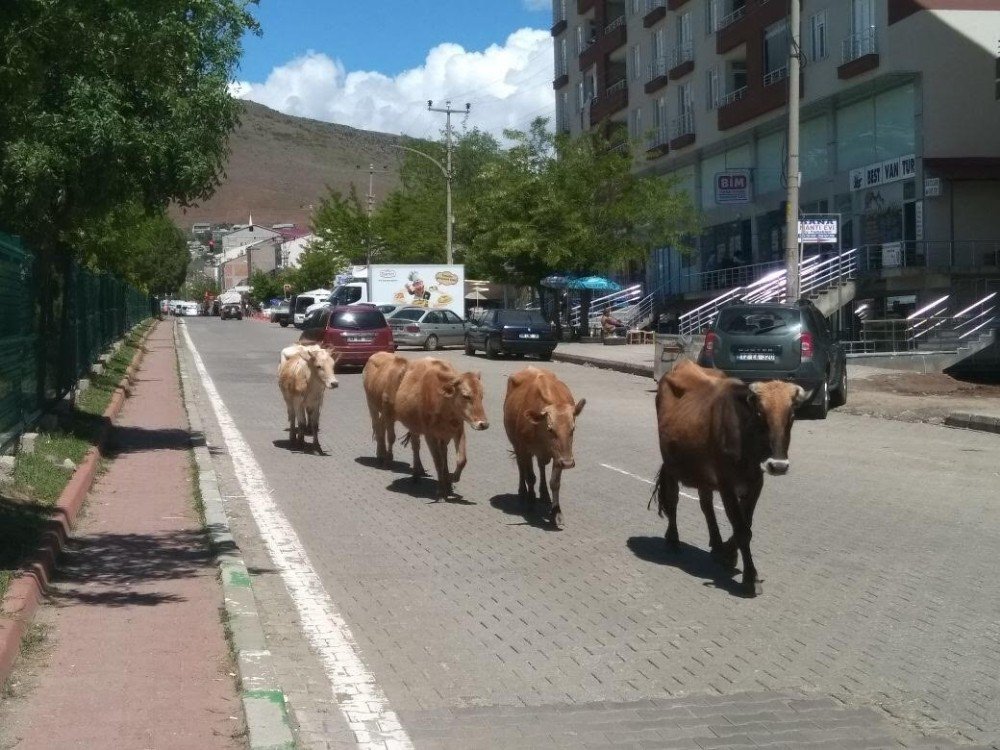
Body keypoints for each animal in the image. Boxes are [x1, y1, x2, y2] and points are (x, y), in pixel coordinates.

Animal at [398, 356, 492, 500]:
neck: (445, 407)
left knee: (444, 452)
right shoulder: (430, 435)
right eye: (466, 396)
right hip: (415, 429)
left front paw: (454, 478)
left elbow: (462, 459)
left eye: (481, 396)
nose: (483, 424)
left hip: (444, 436)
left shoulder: (459, 431)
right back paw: (416, 474)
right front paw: (440, 490)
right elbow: (437, 461)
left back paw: (447, 481)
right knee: (416, 447)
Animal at [504, 366, 584, 528]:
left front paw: (556, 512)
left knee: (541, 467)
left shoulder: (559, 455)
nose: (568, 463)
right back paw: (523, 493)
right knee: (521, 467)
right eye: (550, 429)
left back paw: (545, 494)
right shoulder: (525, 449)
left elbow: (555, 483)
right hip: (516, 445)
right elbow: (530, 477)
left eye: (573, 428)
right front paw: (530, 502)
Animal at [652, 360, 808, 600]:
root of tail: (683, 364)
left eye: (791, 416)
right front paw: (750, 578)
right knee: (673, 499)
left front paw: (728, 554)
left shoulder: (756, 483)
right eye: (760, 414)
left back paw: (717, 546)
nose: (778, 465)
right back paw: (672, 538)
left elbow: (746, 524)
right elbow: (742, 529)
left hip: (703, 473)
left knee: (706, 505)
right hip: (671, 464)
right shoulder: (727, 485)